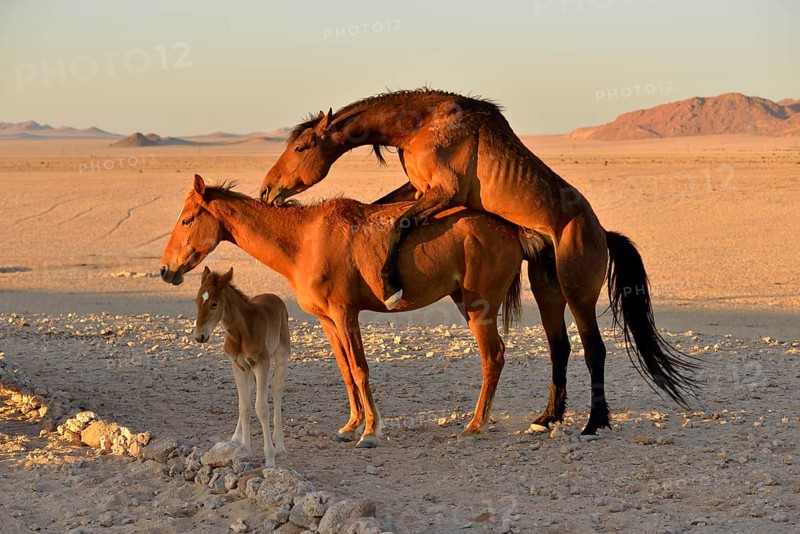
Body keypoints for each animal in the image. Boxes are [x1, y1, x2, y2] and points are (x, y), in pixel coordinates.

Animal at [193, 266, 290, 467]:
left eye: (214, 304)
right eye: (197, 301)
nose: (199, 337)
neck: (241, 332)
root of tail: (274, 297)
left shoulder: (262, 363)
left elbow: (262, 408)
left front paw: (270, 458)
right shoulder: (238, 366)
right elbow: (244, 406)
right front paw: (245, 448)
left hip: (281, 354)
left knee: (277, 389)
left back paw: (280, 444)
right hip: (249, 369)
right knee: (252, 391)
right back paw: (236, 437)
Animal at [257, 88, 698, 438]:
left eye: (300, 147)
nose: (266, 191)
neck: (421, 123)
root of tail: (602, 232)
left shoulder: (443, 192)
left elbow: (399, 221)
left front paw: (390, 281)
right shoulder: (419, 188)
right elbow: (384, 210)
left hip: (578, 292)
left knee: (594, 351)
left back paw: (593, 424)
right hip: (547, 289)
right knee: (559, 348)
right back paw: (547, 418)